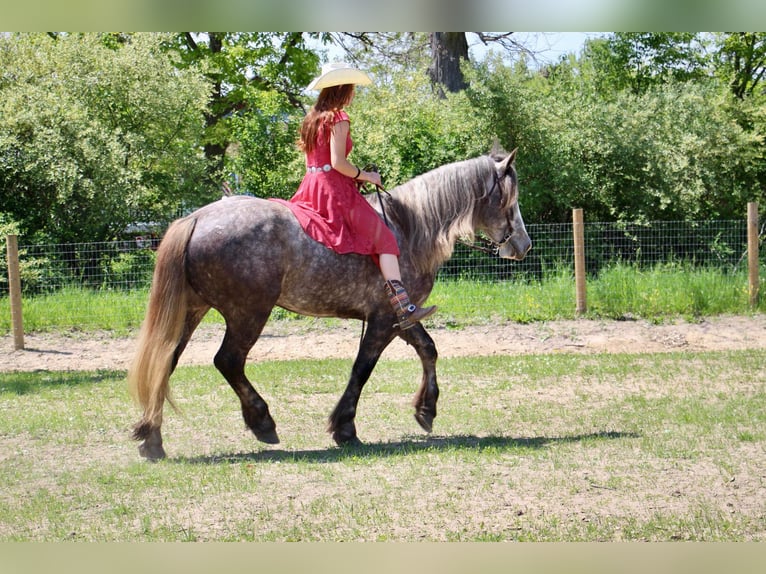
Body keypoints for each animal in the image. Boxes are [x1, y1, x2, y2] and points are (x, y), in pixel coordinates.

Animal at [127, 149, 531, 460]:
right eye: (509, 200)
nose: (524, 245)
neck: (409, 227)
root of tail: (197, 218)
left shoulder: (399, 317)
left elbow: (428, 349)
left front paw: (426, 409)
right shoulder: (382, 321)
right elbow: (362, 369)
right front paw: (345, 428)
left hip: (192, 311)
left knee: (164, 362)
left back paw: (152, 438)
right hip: (248, 314)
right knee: (228, 361)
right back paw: (262, 422)